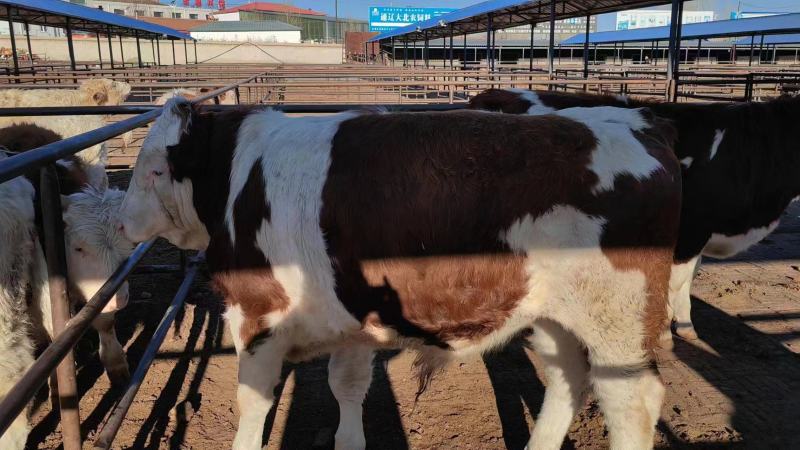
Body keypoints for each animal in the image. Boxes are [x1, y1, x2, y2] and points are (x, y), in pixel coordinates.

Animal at [119, 98, 680, 450]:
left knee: (632, 402)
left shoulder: (257, 313)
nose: (125, 222)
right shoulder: (348, 315)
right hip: (554, 316)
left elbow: (252, 404)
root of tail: (641, 122)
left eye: (154, 170)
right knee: (568, 381)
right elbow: (347, 387)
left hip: (617, 317)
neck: (238, 176)